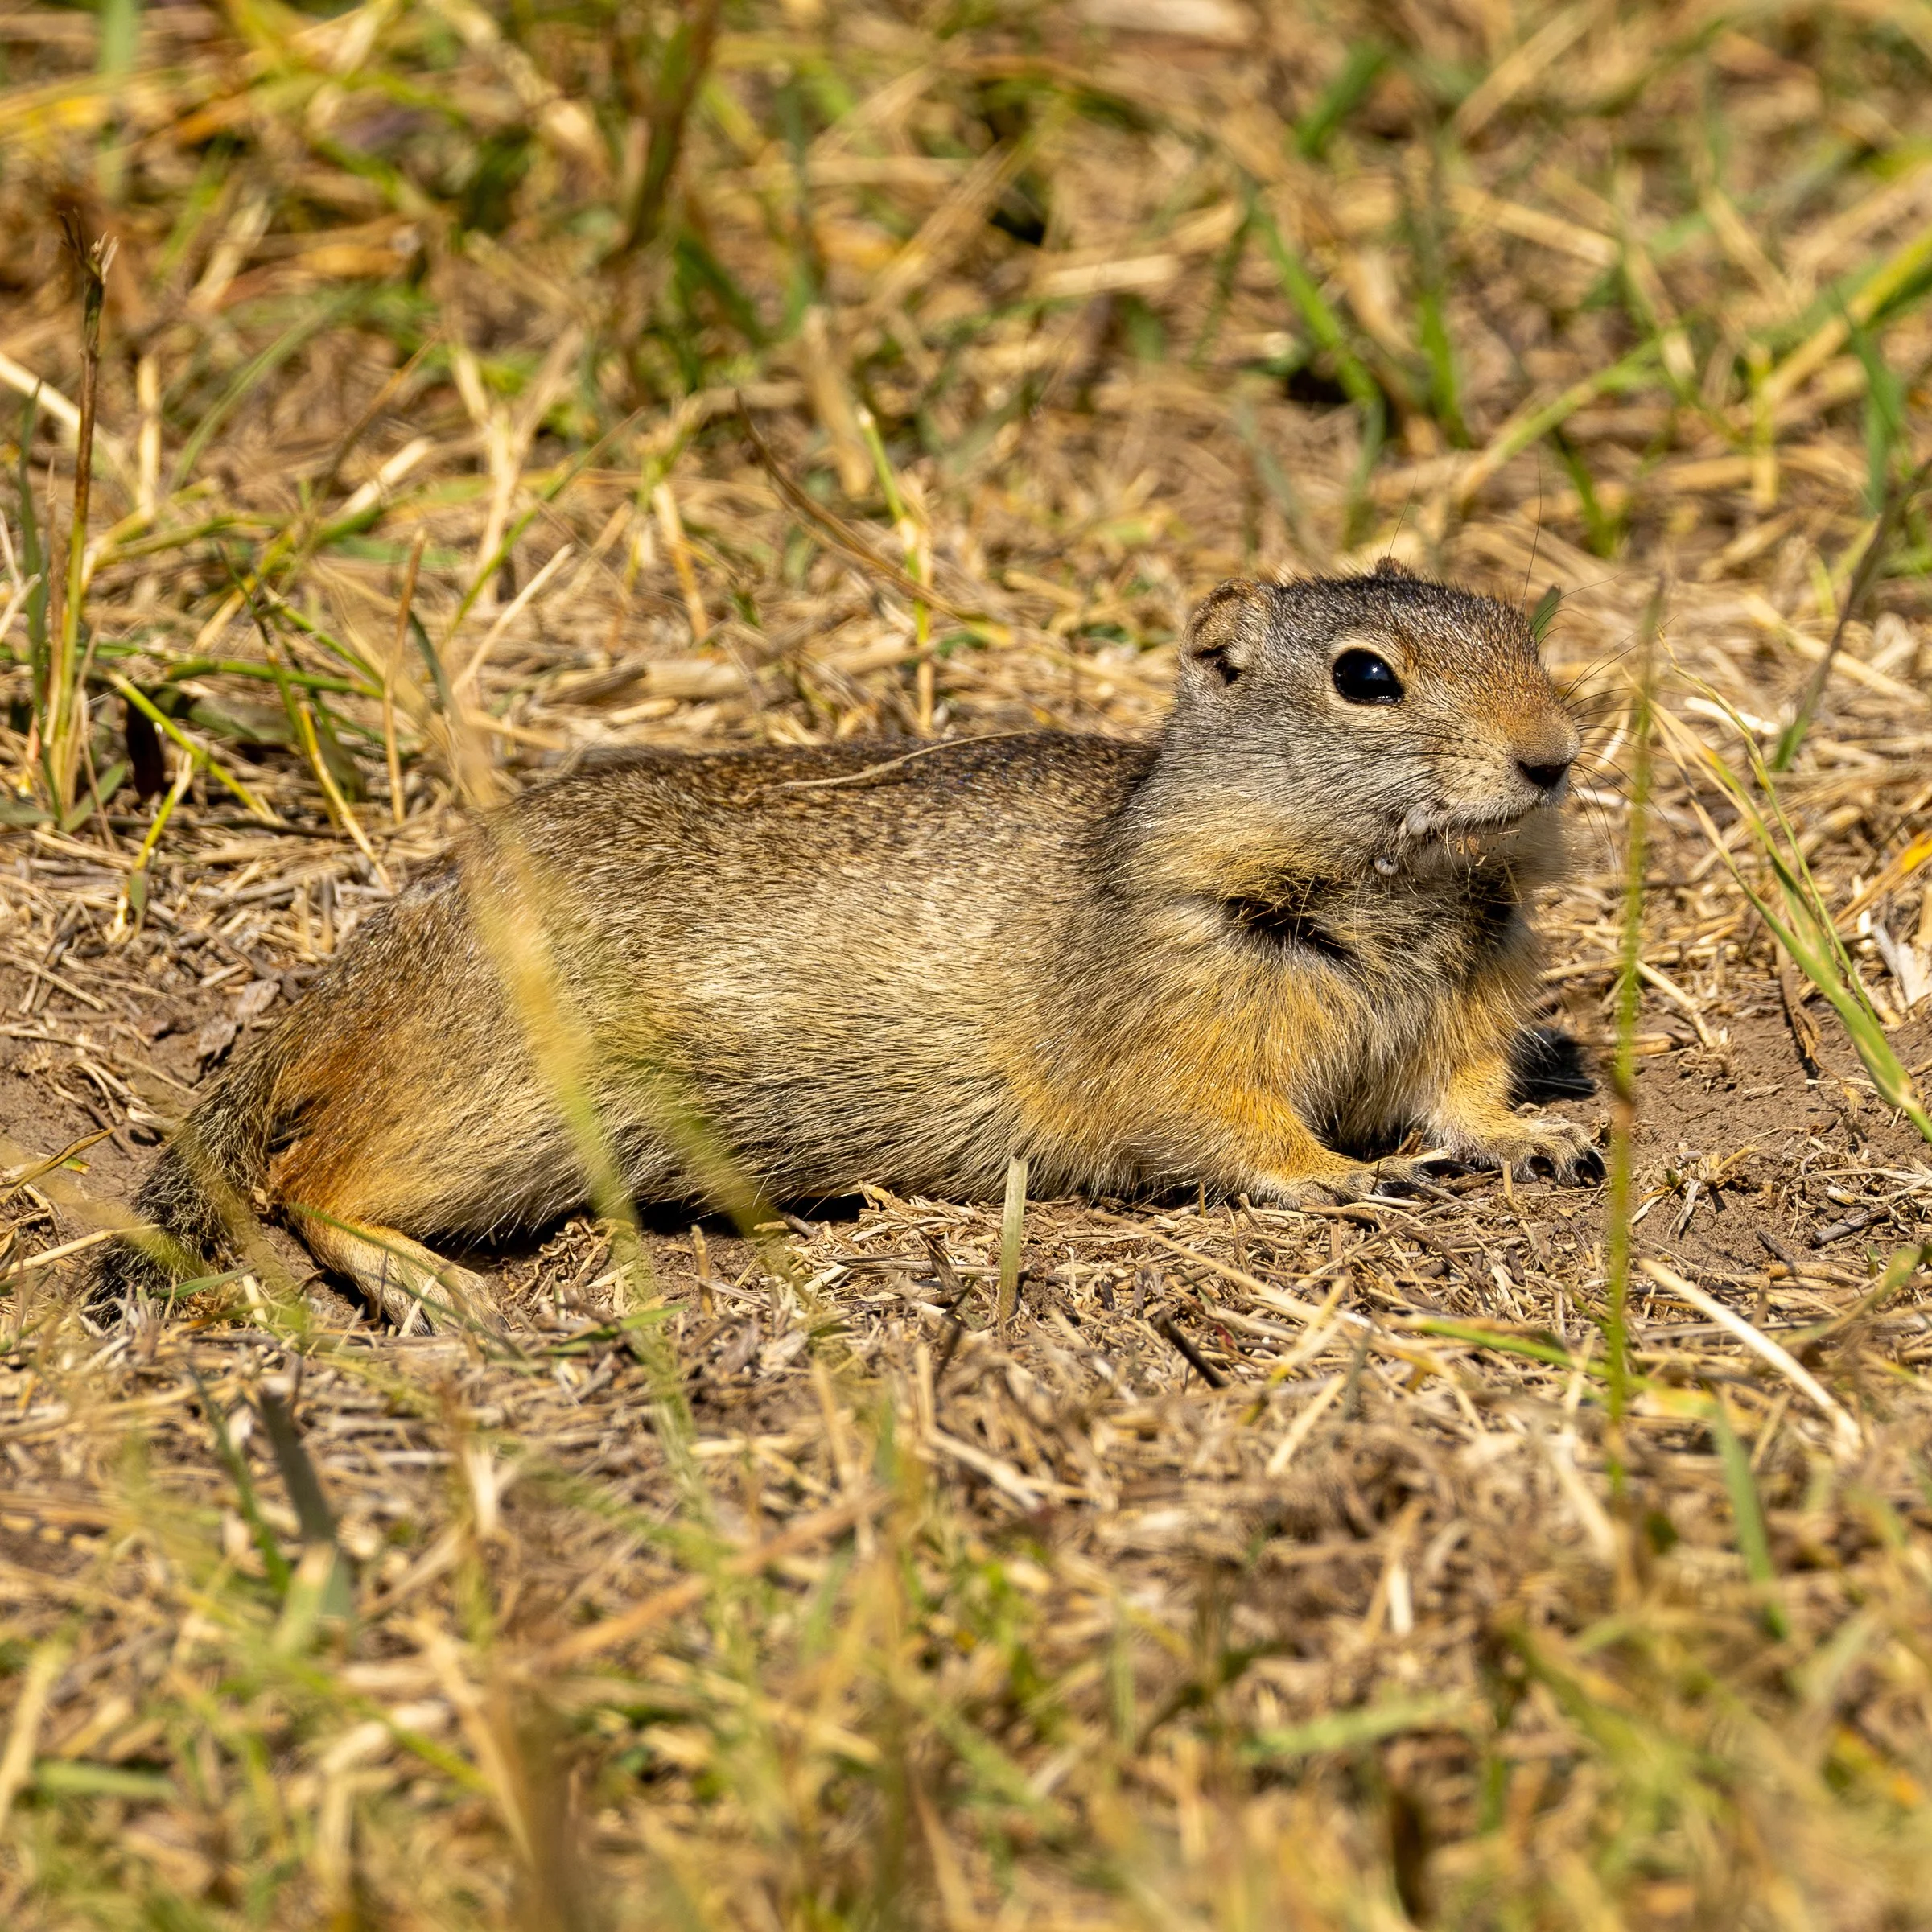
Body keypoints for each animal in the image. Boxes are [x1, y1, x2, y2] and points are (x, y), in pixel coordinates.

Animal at [99, 562, 1598, 1323]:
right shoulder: (1175, 1031)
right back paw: (445, 1295)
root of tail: (365, 966)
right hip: (498, 1113)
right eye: (1365, 676)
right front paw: (1349, 1178)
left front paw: (1542, 1139)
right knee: (309, 1178)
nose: (1552, 758)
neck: (1395, 890)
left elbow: (1462, 1098)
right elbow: (1232, 1129)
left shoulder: (1459, 1012)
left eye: (1523, 630)